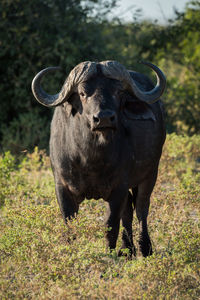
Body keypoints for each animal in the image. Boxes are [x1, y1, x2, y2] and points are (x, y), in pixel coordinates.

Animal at [31, 61, 166, 258]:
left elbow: (111, 225)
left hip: (150, 174)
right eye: (82, 93)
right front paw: (71, 253)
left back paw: (144, 248)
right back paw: (127, 249)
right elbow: (69, 224)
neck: (90, 159)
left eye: (118, 92)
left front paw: (109, 254)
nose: (103, 118)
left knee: (141, 209)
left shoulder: (119, 187)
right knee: (129, 209)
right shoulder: (62, 187)